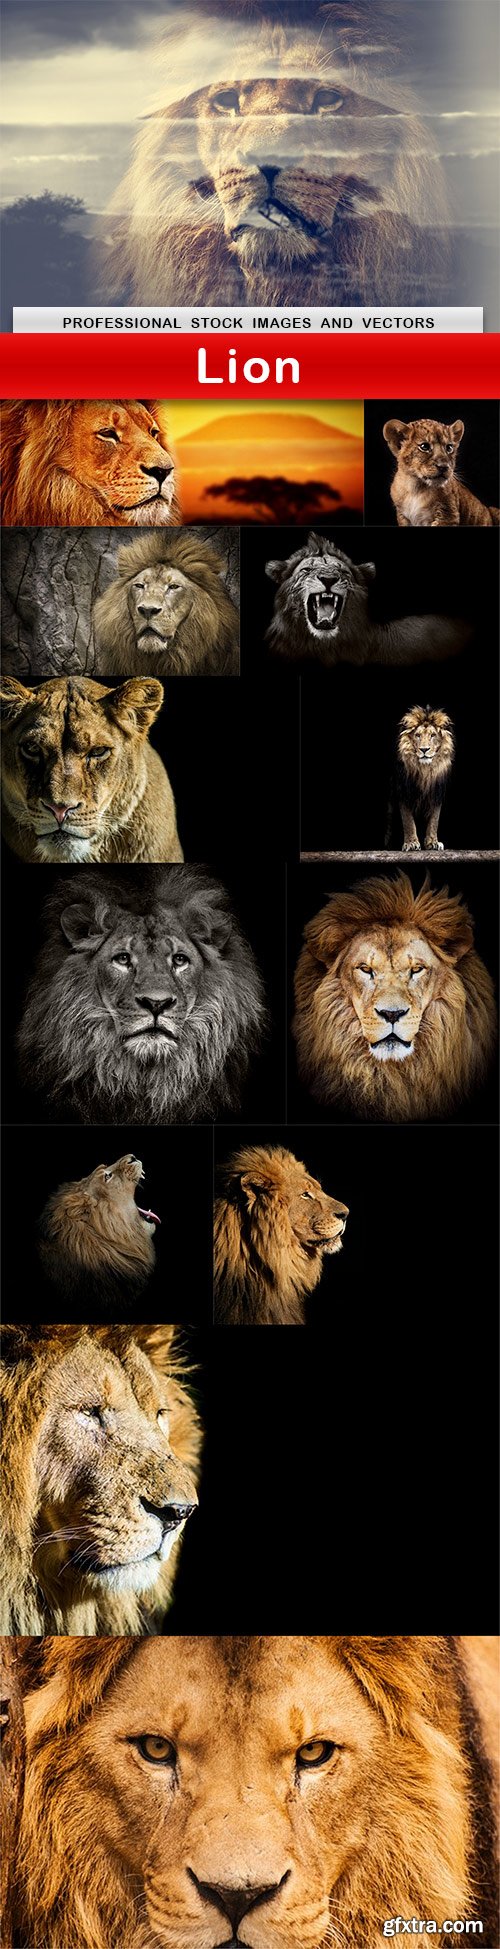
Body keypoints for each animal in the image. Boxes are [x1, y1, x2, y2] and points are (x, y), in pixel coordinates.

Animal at [385, 706, 455, 853]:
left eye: (433, 735)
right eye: (417, 735)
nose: (424, 749)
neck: (425, 770)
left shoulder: (436, 793)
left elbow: (434, 819)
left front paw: (433, 843)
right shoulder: (403, 791)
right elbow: (408, 821)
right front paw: (411, 843)